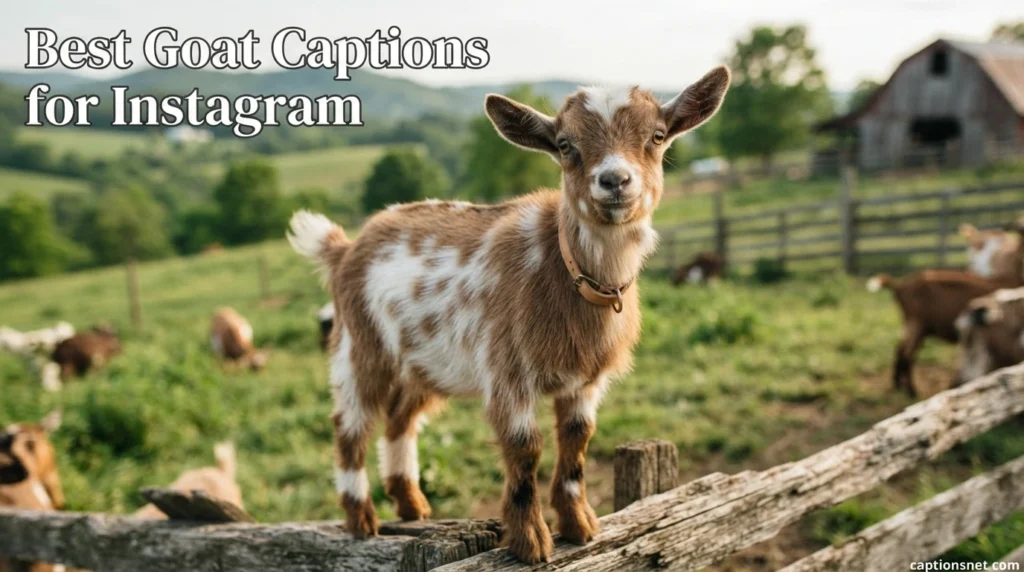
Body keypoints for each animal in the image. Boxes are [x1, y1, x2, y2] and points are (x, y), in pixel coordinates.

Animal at [287, 67, 730, 563]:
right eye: (565, 145)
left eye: (656, 135)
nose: (615, 180)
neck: (563, 269)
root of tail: (344, 248)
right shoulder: (508, 372)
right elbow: (524, 449)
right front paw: (530, 541)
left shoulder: (583, 381)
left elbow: (577, 440)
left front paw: (579, 524)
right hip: (360, 347)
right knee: (351, 425)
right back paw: (361, 517)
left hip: (424, 364)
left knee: (401, 419)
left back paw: (411, 503)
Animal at [867, 270, 1020, 396]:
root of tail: (900, 286)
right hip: (916, 324)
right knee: (907, 355)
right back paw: (911, 391)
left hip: (914, 326)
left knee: (900, 350)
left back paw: (899, 386)